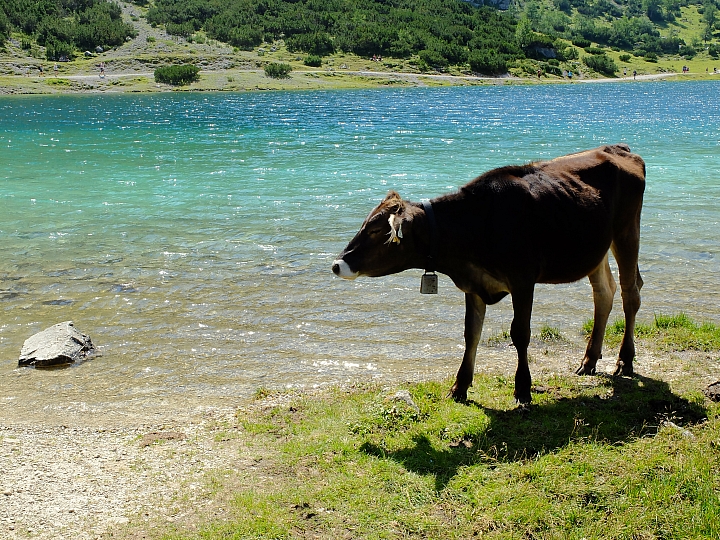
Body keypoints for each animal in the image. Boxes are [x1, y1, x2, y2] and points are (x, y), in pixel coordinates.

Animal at [332, 143, 648, 404]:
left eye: (376, 230)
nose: (337, 264)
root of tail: (616, 148)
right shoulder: (474, 284)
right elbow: (471, 332)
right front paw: (460, 386)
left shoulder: (523, 280)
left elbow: (520, 333)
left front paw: (523, 389)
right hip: (597, 248)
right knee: (604, 293)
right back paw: (589, 360)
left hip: (627, 232)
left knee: (630, 294)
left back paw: (625, 361)